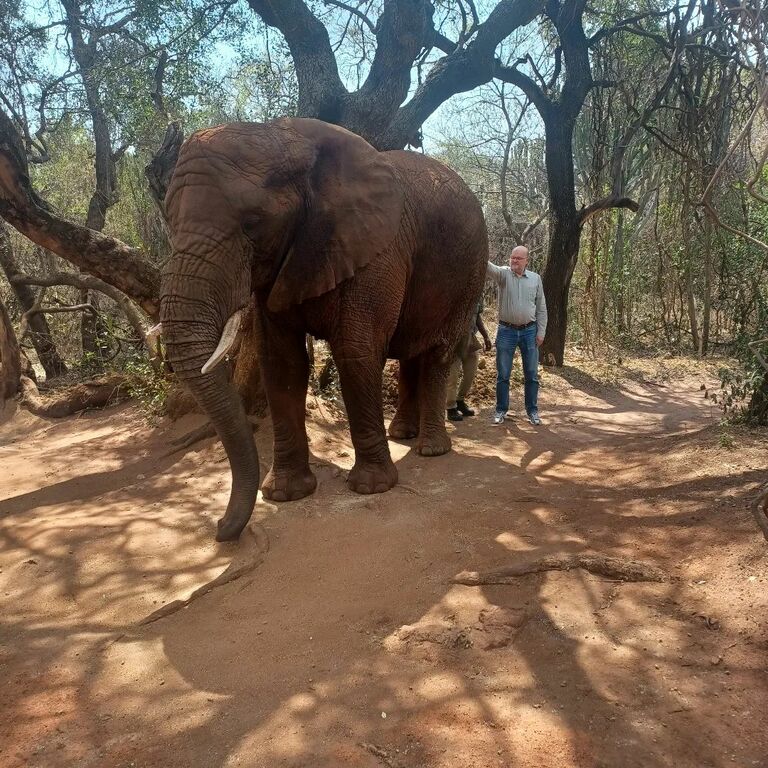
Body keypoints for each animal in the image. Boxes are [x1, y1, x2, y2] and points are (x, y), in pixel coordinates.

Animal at [159, 118, 488, 541]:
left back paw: (431, 449)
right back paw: (402, 435)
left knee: (436, 353)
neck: (290, 139)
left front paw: (371, 487)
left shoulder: (376, 250)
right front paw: (284, 495)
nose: (219, 528)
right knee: (410, 354)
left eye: (253, 223)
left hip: (468, 273)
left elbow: (355, 353)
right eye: (169, 220)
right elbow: (281, 363)